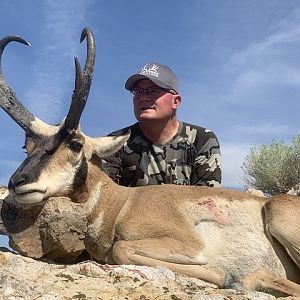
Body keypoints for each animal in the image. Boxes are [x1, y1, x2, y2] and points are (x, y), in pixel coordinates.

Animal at [0, 28, 300, 298]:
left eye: (75, 144)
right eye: (27, 146)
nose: (17, 183)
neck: (121, 203)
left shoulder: (188, 244)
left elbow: (121, 248)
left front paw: (221, 275)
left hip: (277, 213)